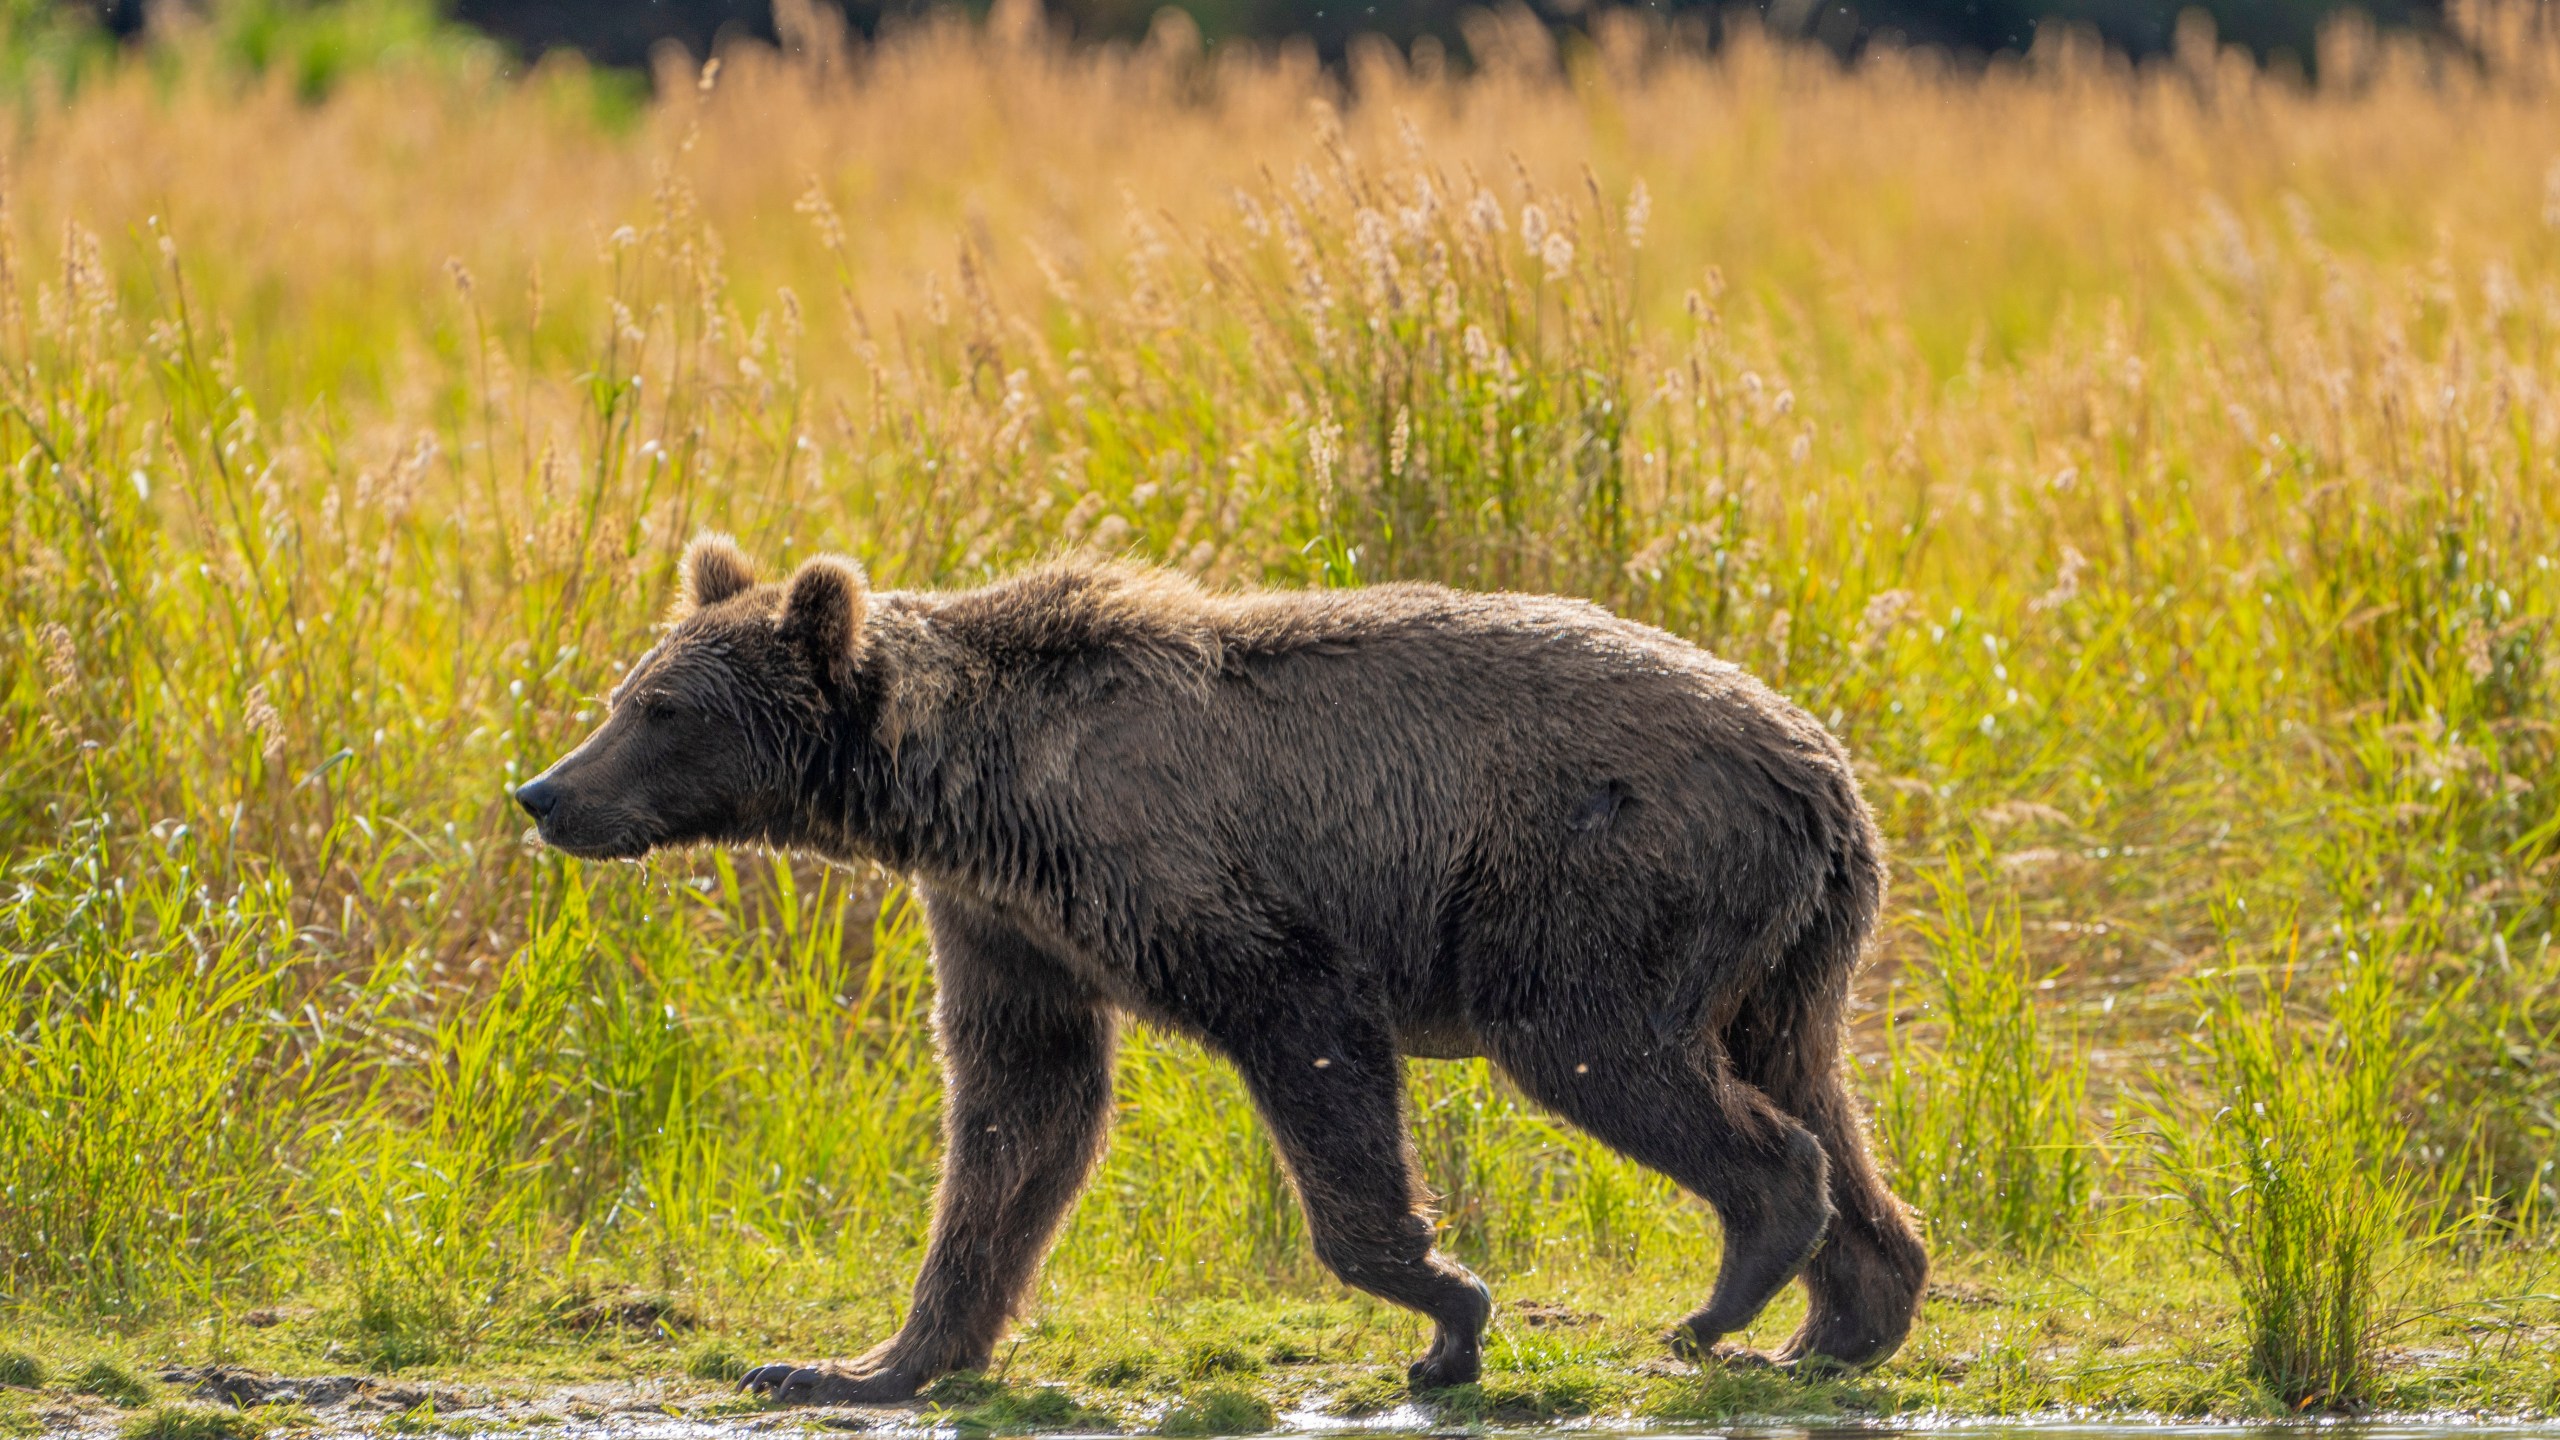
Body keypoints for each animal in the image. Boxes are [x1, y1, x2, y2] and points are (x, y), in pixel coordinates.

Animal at [514, 532, 1925, 1393]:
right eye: (629, 690)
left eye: (660, 709)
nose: (543, 792)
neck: (968, 791)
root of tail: (1821, 766)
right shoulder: (1007, 921)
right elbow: (1017, 1115)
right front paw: (860, 1362)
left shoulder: (1192, 882)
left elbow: (1306, 1045)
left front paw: (1445, 1315)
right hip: (1790, 937)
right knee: (1808, 1081)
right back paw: (1841, 1321)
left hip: (1603, 877)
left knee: (1611, 1052)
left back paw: (1727, 1296)